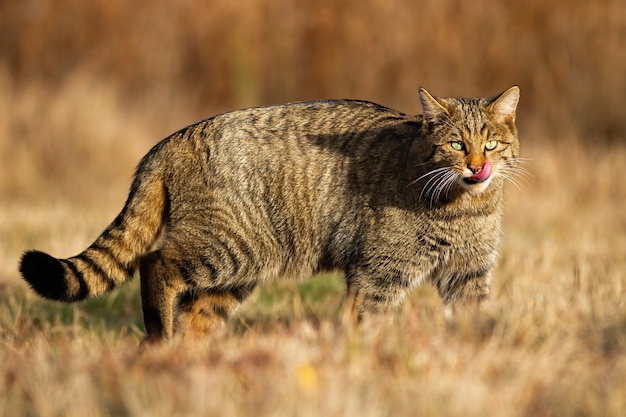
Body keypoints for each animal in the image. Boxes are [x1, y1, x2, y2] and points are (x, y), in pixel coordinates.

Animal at [18, 85, 516, 342]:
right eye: (456, 144)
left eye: (492, 143)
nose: (478, 166)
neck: (465, 207)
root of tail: (169, 140)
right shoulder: (379, 271)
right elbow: (367, 322)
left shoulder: (468, 273)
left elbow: (476, 318)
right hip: (230, 247)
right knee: (155, 263)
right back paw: (160, 336)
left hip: (238, 271)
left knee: (196, 314)